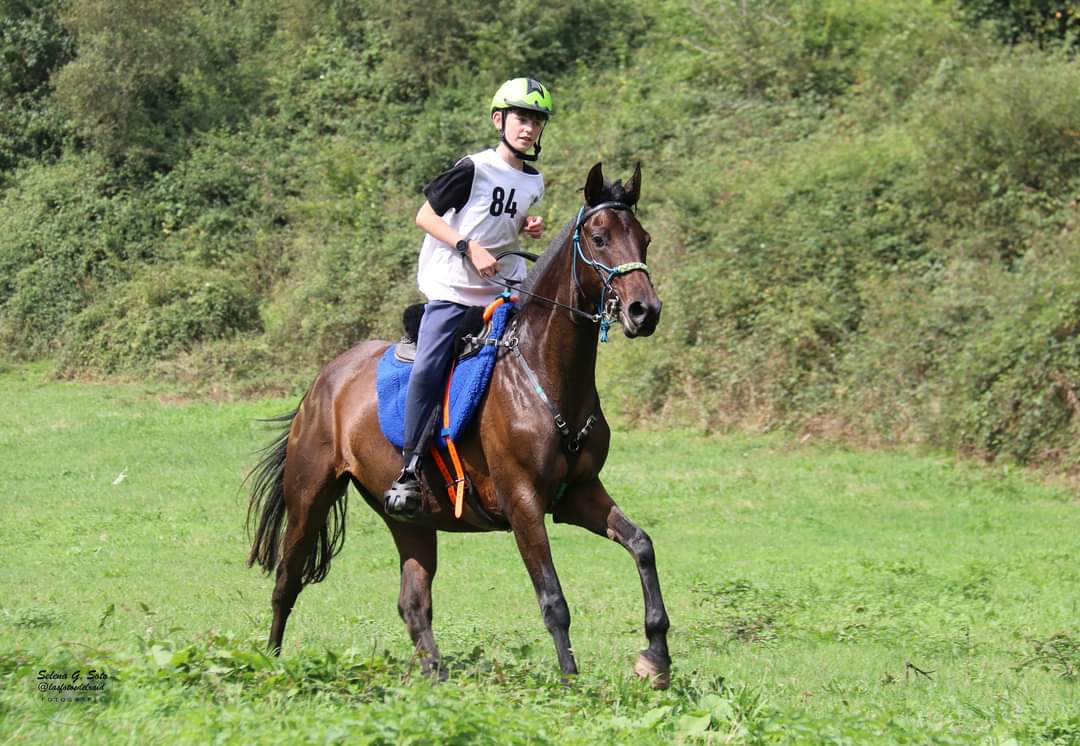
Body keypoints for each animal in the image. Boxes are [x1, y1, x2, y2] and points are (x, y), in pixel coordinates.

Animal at [246, 163, 669, 686]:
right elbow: (553, 598)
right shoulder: (523, 502)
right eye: (599, 237)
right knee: (287, 579)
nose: (644, 311)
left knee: (413, 601)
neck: (543, 373)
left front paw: (655, 659)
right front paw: (572, 681)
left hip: (408, 517)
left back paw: (435, 678)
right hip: (310, 494)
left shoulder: (579, 494)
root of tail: (322, 383)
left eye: (644, 239)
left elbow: (642, 545)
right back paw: (270, 663)